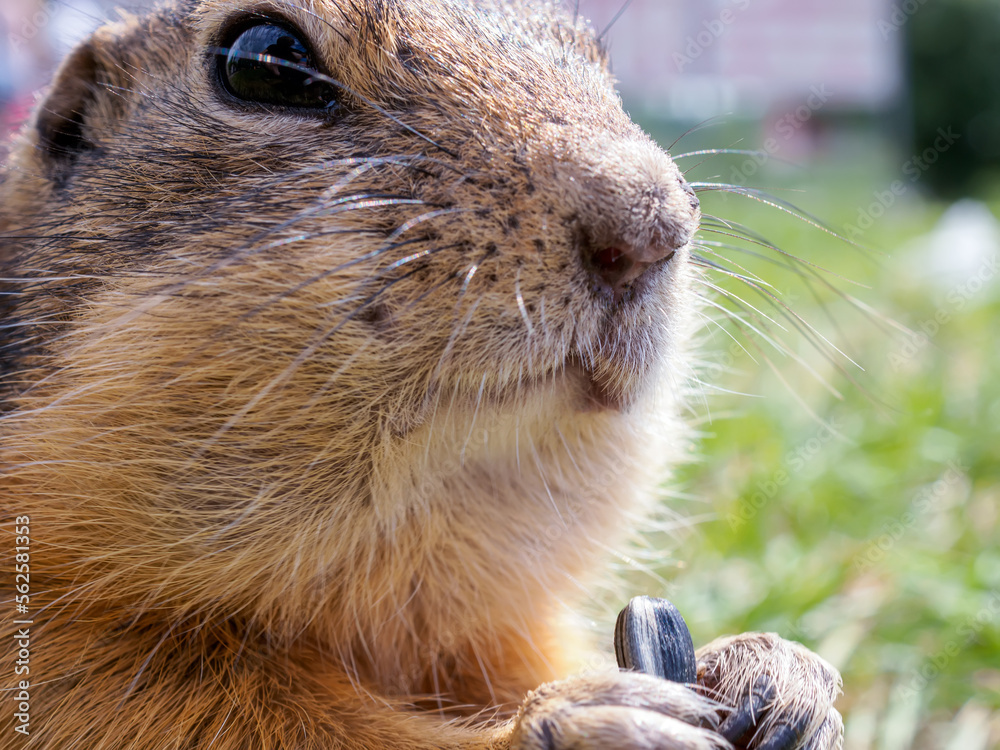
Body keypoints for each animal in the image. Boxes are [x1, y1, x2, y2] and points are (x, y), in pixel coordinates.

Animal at [0, 0, 844, 748]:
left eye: (593, 53)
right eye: (262, 60)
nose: (653, 223)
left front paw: (775, 673)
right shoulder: (71, 658)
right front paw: (587, 722)